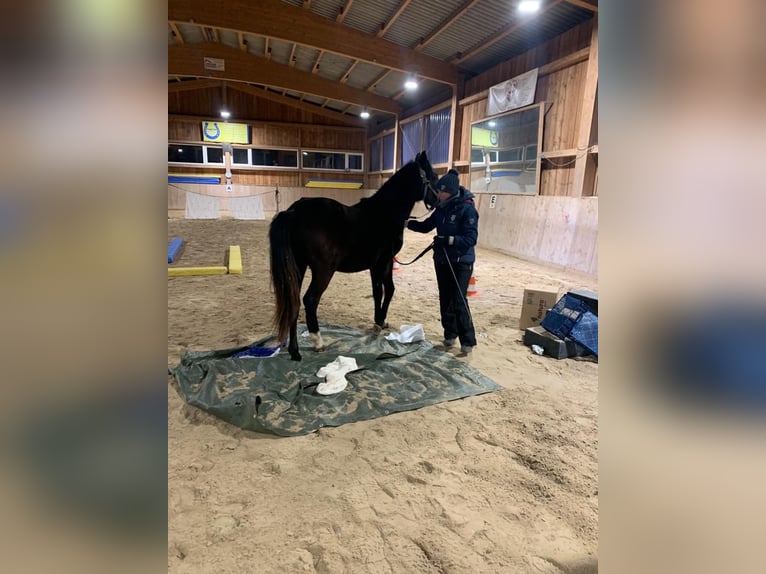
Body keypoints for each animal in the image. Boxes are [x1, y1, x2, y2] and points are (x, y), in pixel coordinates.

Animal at [270, 151, 438, 362]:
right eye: (433, 177)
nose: (439, 201)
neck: (384, 214)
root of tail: (294, 211)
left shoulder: (379, 264)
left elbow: (382, 291)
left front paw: (380, 321)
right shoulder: (383, 262)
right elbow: (385, 290)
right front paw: (379, 322)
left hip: (298, 267)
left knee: (294, 301)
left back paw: (295, 351)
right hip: (323, 270)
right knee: (310, 300)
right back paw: (318, 342)